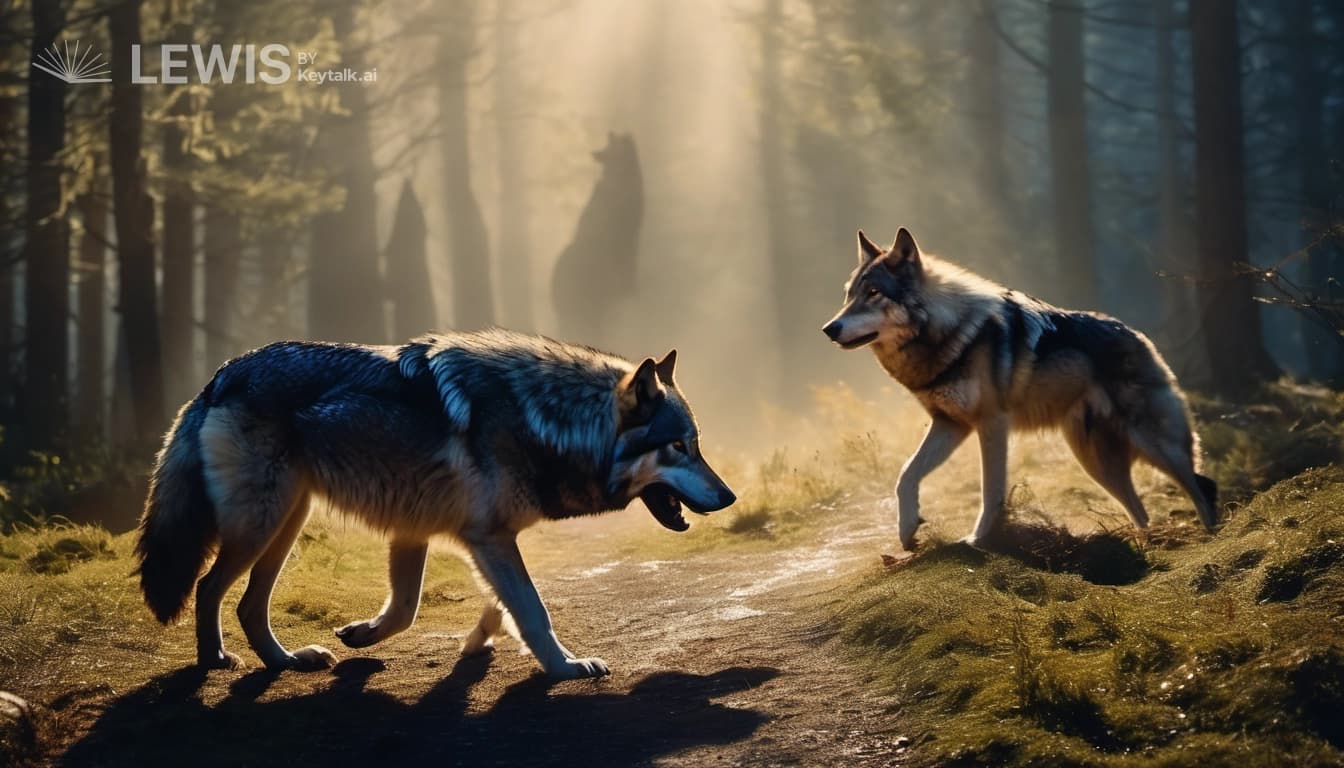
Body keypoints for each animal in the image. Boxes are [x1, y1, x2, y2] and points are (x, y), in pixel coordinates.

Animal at [135, 329, 735, 678]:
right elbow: (533, 610)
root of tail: (219, 376)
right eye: (679, 447)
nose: (730, 496)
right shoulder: (488, 536)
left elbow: (424, 608)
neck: (549, 420)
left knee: (246, 605)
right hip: (262, 524)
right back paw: (215, 659)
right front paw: (566, 666)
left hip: (287, 522)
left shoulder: (431, 532)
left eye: (698, 445)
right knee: (209, 587)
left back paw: (289, 660)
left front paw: (397, 638)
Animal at [823, 228, 1218, 550]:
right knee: (1141, 508)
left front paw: (979, 539)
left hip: (1153, 445)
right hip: (1096, 462)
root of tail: (1139, 336)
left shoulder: (991, 424)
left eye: (874, 293)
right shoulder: (951, 425)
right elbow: (905, 475)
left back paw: (1211, 543)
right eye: (848, 295)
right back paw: (1145, 545)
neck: (946, 335)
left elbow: (991, 490)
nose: (829, 329)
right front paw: (907, 531)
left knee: (1204, 486)